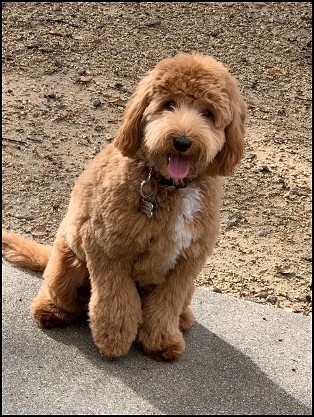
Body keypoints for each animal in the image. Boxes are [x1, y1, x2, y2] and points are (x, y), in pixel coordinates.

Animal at [2, 52, 248, 360]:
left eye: (208, 113)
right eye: (168, 104)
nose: (182, 141)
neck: (168, 185)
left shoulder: (186, 263)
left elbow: (165, 305)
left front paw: (162, 341)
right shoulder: (107, 248)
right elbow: (117, 300)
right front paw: (114, 340)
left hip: (189, 286)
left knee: (177, 305)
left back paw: (183, 319)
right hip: (68, 264)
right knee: (61, 296)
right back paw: (51, 311)